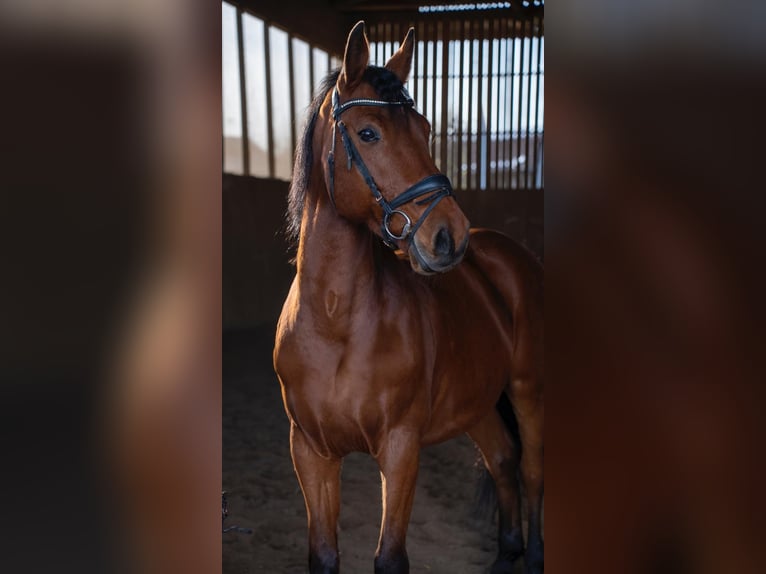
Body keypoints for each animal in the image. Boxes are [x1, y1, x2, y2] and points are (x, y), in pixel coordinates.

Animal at [273, 21, 543, 574]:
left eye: (424, 128)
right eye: (368, 133)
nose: (448, 236)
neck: (333, 323)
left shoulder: (400, 447)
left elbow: (391, 558)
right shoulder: (310, 451)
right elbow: (324, 555)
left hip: (526, 387)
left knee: (531, 472)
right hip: (478, 402)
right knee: (503, 460)